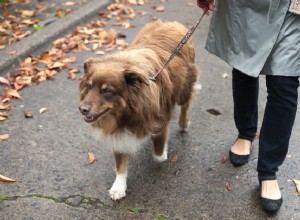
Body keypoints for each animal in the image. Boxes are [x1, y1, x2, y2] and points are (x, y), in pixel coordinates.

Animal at [79, 19, 199, 200]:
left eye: (107, 91)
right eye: (88, 86)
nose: (82, 109)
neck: (126, 113)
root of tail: (172, 23)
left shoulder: (159, 119)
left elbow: (158, 155)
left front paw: (162, 150)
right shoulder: (118, 134)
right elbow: (120, 163)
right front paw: (119, 186)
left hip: (184, 86)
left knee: (185, 104)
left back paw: (184, 123)